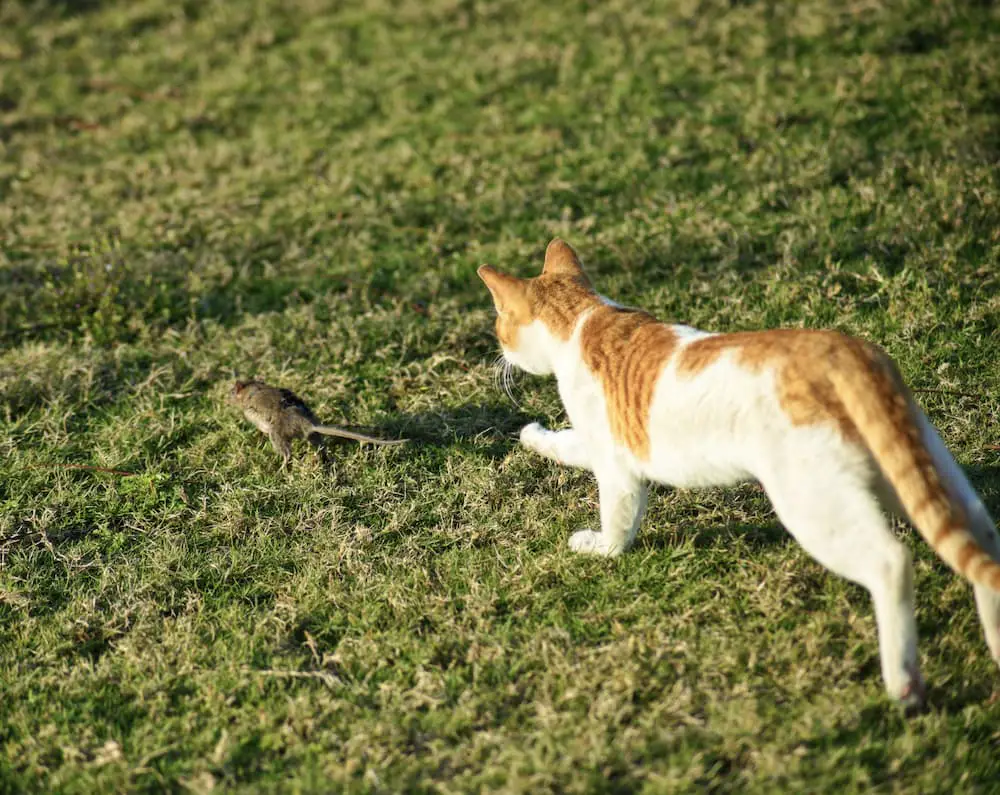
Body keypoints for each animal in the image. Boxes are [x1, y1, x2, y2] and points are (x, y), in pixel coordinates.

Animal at [476, 235, 1000, 708]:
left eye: (500, 326)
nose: (499, 353)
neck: (585, 317)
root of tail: (846, 353)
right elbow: (567, 444)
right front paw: (534, 436)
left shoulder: (616, 466)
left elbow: (615, 520)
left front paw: (597, 544)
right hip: (925, 472)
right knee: (982, 541)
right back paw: (993, 641)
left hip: (811, 502)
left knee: (891, 563)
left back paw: (903, 683)